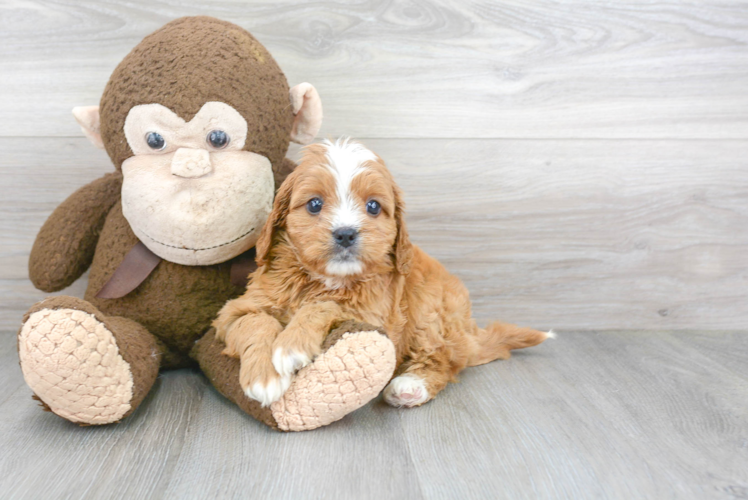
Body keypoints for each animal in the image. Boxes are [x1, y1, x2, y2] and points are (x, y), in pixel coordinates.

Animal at [213, 137, 552, 406]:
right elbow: (256, 322)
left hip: (431, 312)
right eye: (314, 204)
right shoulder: (235, 311)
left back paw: (411, 386)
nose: (346, 234)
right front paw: (264, 378)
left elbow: (324, 305)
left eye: (373, 206)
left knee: (444, 361)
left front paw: (291, 345)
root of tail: (469, 331)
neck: (326, 279)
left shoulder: (374, 315)